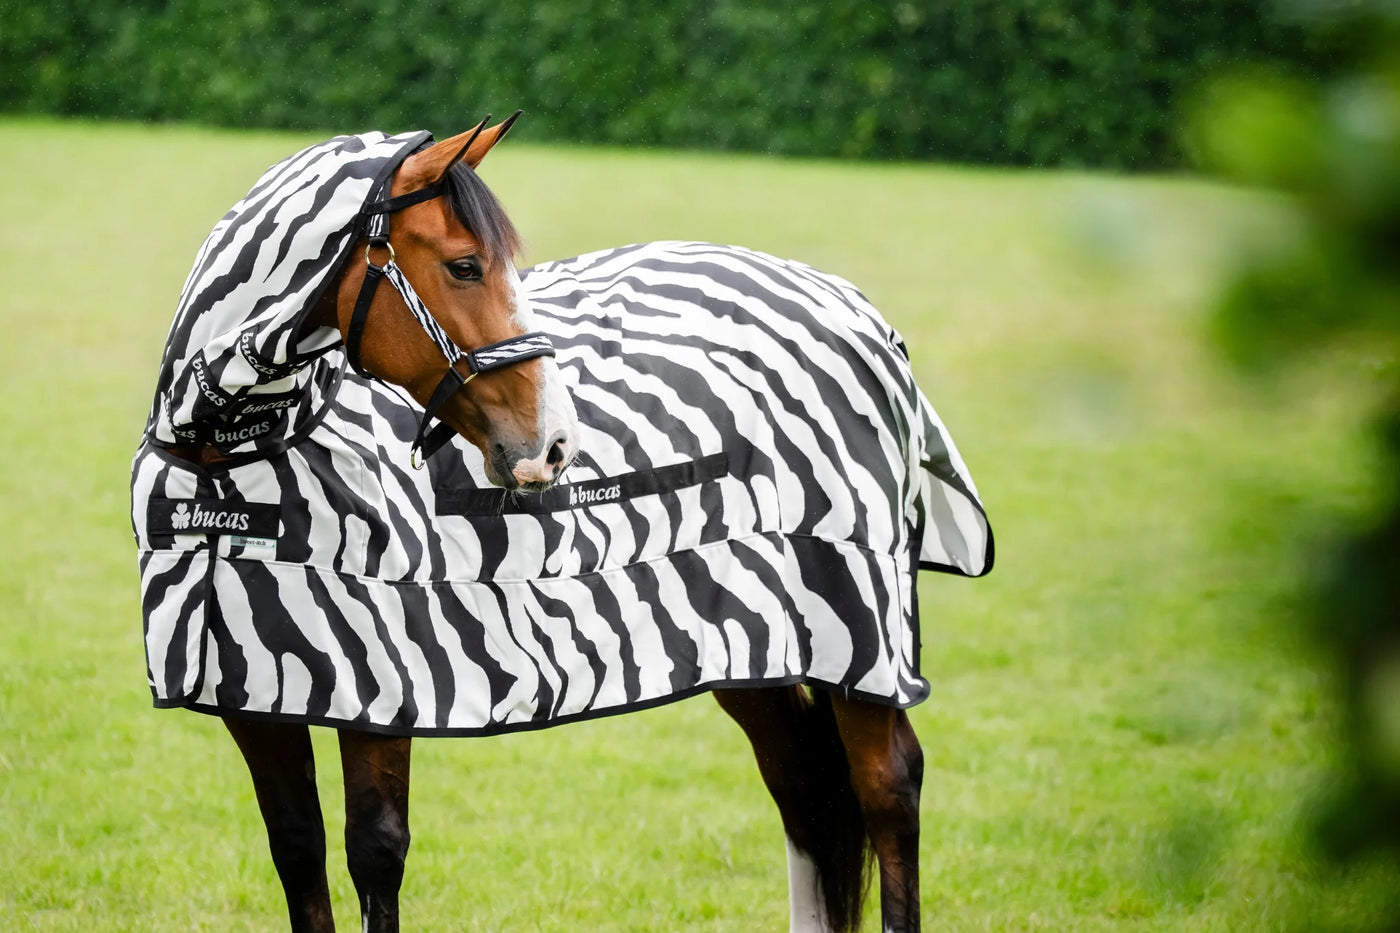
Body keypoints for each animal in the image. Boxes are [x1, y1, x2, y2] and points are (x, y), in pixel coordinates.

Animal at [132, 116, 993, 933]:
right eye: (464, 265)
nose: (553, 443)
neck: (236, 458)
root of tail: (858, 310)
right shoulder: (253, 697)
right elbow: (298, 850)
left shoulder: (378, 685)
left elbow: (375, 853)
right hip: (751, 635)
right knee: (803, 784)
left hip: (858, 625)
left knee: (887, 787)